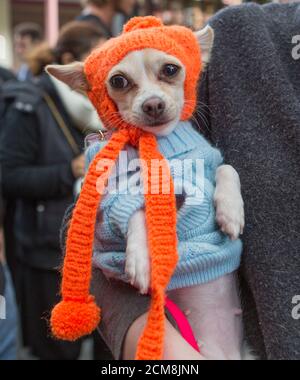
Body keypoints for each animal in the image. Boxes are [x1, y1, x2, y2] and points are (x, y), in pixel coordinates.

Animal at [47, 26, 253, 360]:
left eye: (170, 70)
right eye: (118, 81)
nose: (153, 104)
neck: (160, 145)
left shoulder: (208, 163)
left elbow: (227, 169)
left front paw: (231, 212)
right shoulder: (113, 201)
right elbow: (136, 210)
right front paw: (139, 260)